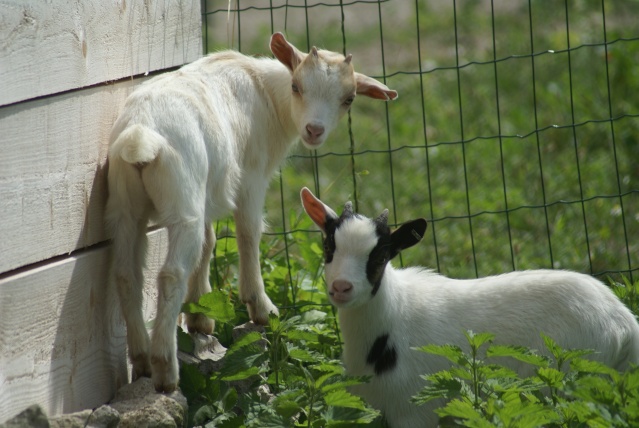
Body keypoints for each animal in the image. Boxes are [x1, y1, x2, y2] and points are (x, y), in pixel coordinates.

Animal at [104, 32, 396, 394]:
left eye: (349, 99)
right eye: (297, 86)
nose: (314, 130)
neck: (267, 93)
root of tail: (142, 135)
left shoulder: (210, 190)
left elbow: (209, 243)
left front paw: (200, 316)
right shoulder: (251, 176)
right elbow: (248, 232)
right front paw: (261, 307)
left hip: (124, 203)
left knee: (126, 274)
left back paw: (142, 360)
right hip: (182, 196)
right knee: (170, 273)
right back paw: (165, 369)